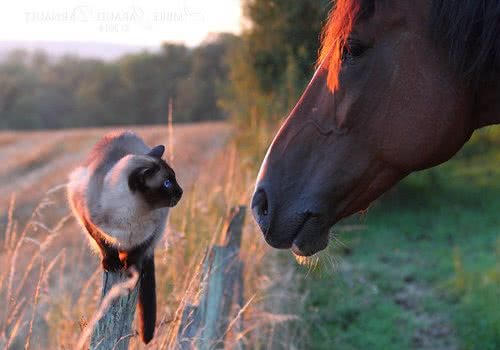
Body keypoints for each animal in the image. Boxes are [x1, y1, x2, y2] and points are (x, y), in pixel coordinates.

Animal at [67, 130, 182, 344]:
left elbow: (137, 252)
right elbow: (105, 245)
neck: (130, 217)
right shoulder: (88, 222)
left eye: (174, 179)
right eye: (167, 183)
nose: (181, 191)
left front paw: (131, 269)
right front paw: (112, 264)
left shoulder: (150, 233)